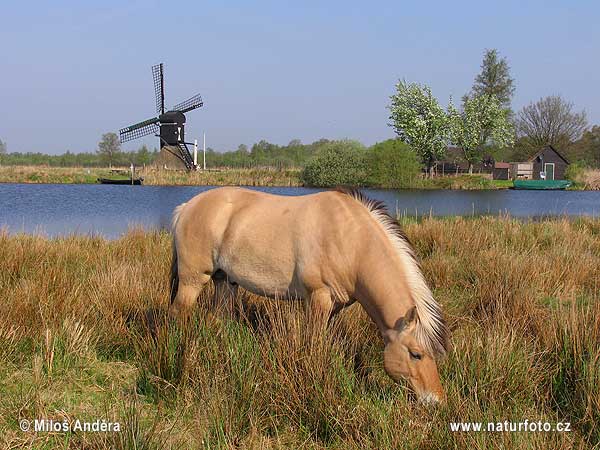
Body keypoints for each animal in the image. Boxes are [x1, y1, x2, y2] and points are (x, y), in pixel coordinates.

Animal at [166, 185, 448, 402]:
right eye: (415, 354)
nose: (435, 401)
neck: (349, 240)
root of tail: (187, 206)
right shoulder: (318, 298)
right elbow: (313, 342)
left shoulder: (335, 306)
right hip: (192, 281)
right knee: (178, 315)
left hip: (224, 282)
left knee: (218, 320)